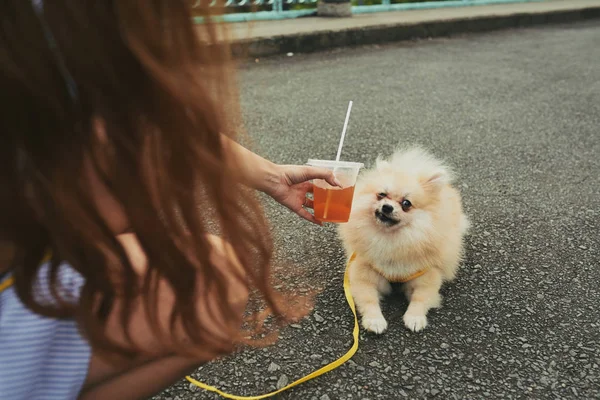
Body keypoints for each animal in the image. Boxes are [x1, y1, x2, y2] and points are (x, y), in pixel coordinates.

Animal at [338, 148, 468, 332]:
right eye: (381, 195)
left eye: (406, 203)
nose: (387, 207)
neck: (392, 240)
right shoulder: (363, 273)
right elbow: (369, 299)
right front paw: (374, 320)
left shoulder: (427, 275)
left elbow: (421, 298)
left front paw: (415, 318)